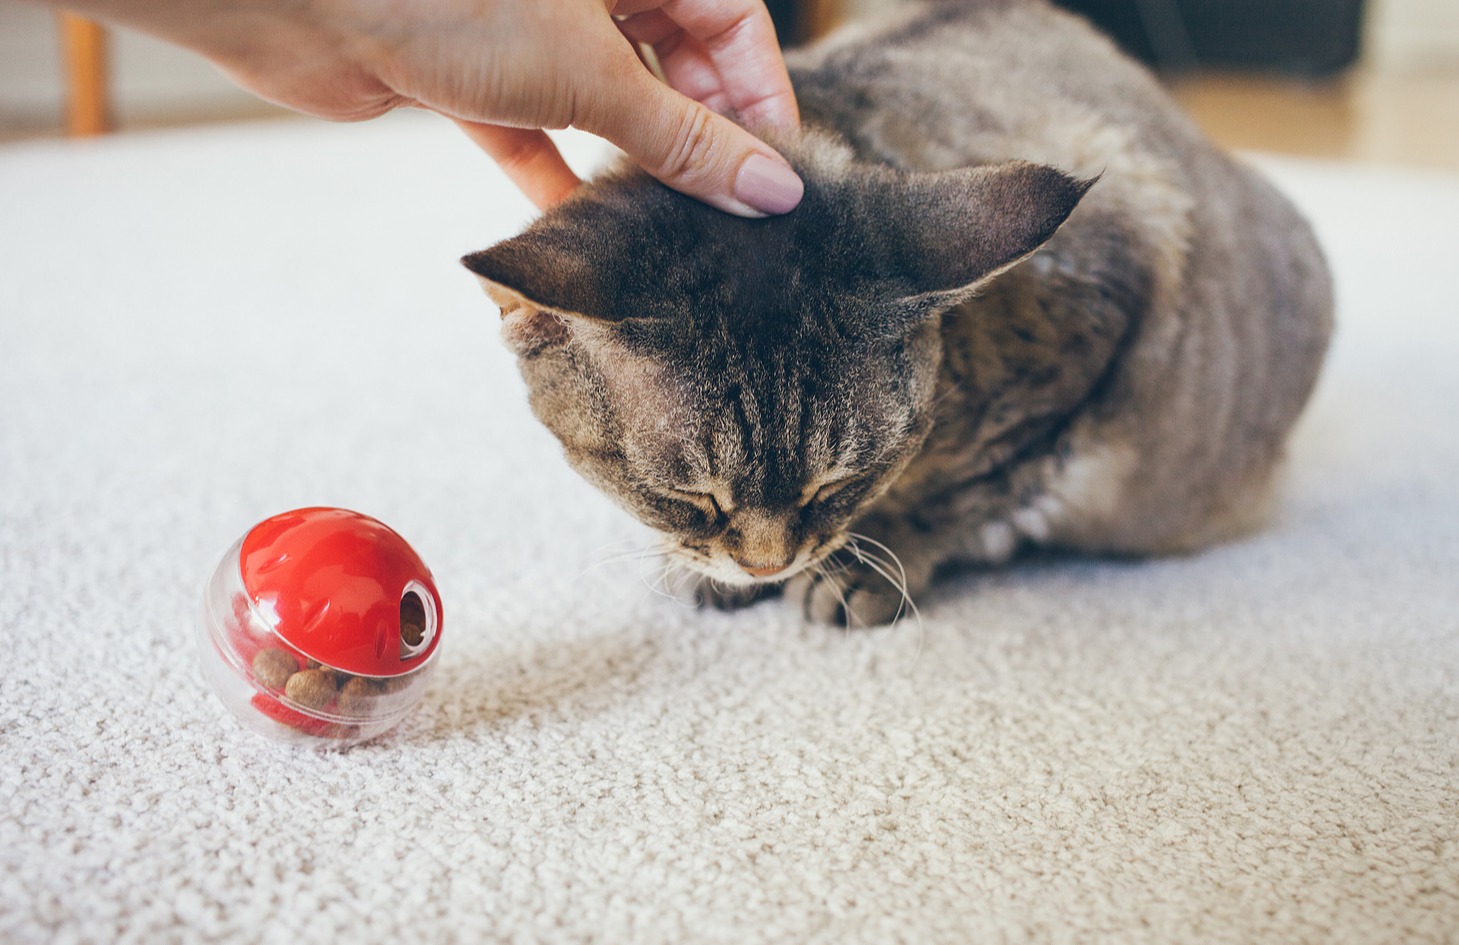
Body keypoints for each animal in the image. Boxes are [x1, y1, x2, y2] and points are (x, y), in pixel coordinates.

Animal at [458, 0, 1336, 627]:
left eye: (840, 481)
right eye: (689, 495)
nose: (767, 563)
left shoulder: (1103, 311)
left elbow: (970, 489)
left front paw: (862, 566)